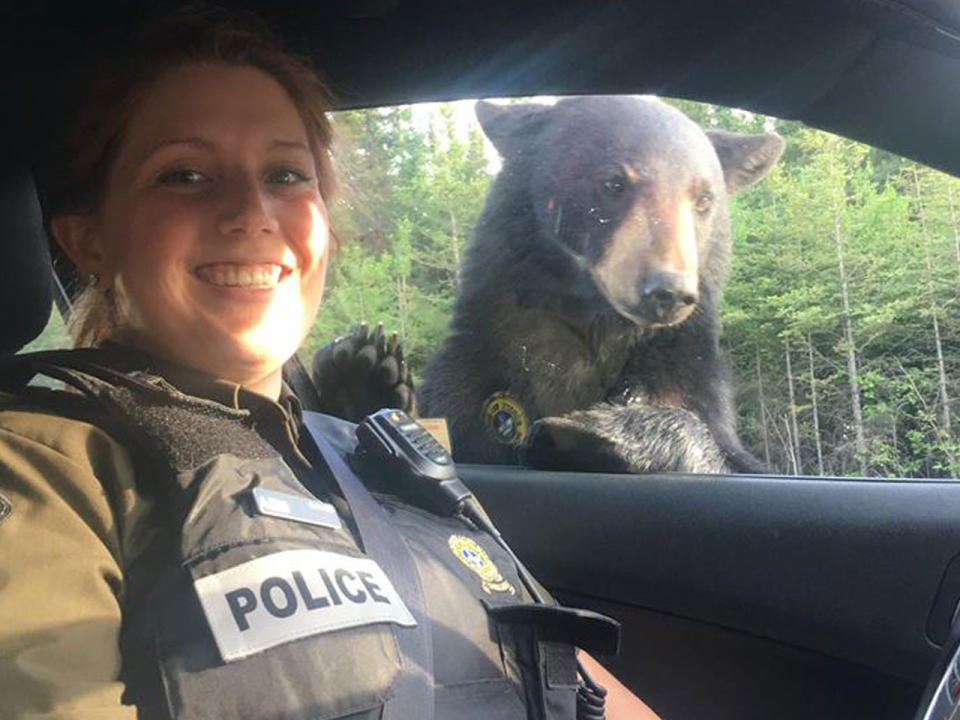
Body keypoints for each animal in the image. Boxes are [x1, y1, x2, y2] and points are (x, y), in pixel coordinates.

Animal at [418, 95, 780, 476]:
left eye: (704, 199)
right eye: (613, 183)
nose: (668, 291)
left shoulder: (689, 377)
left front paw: (606, 429)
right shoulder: (471, 381)